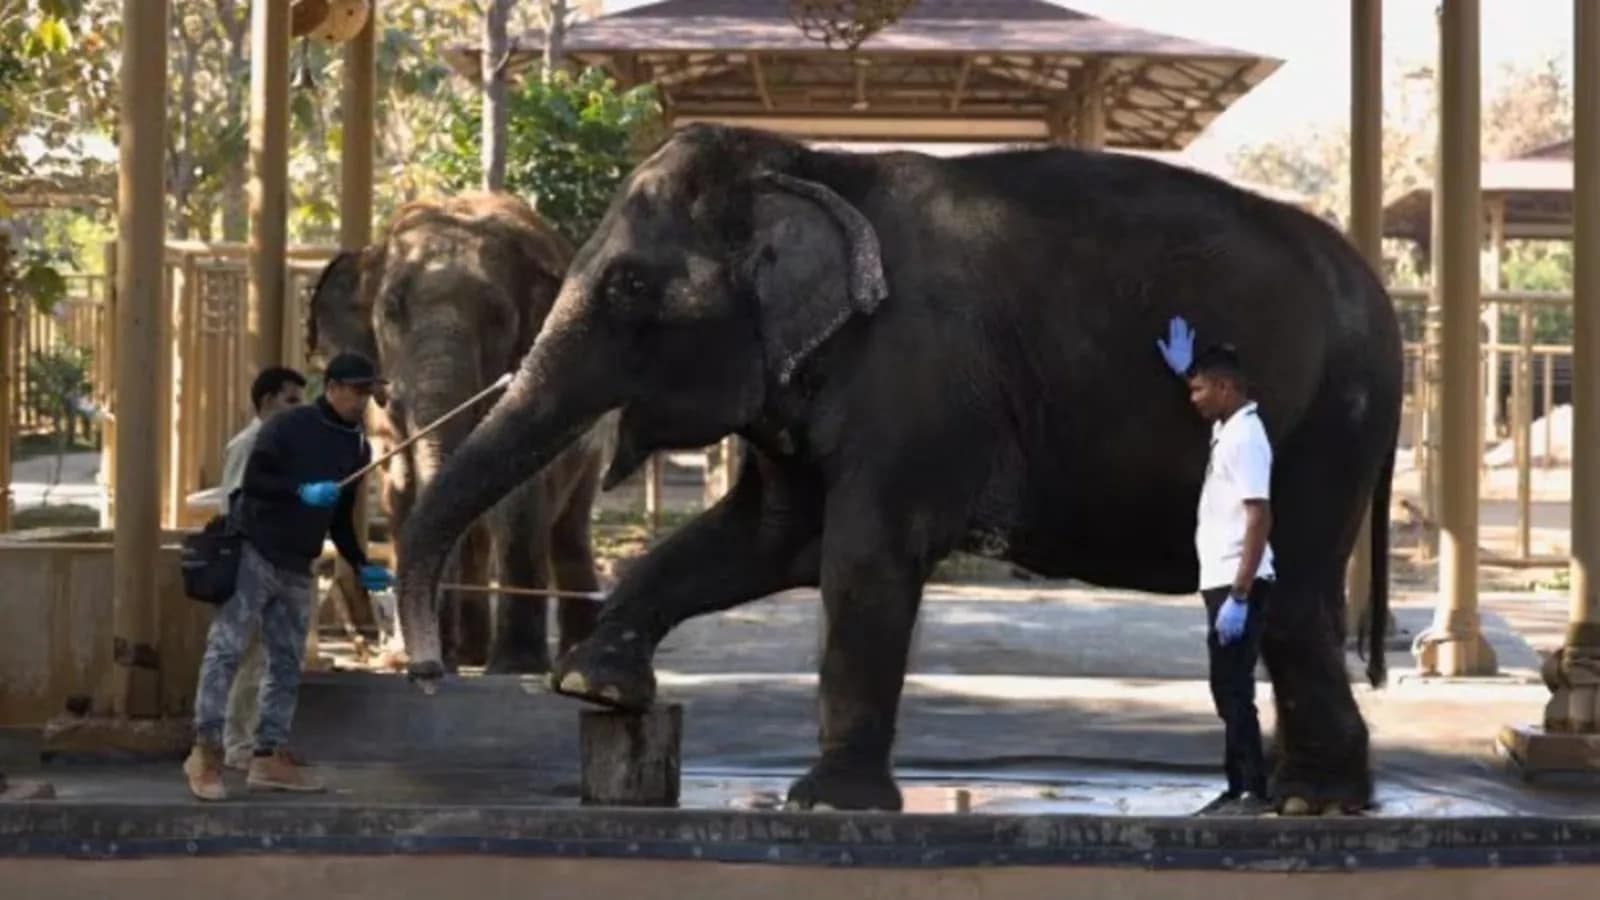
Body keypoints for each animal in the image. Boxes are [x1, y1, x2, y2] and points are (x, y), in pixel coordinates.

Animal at [309, 192, 607, 673]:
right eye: (391, 312)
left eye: (499, 318)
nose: (432, 663)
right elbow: (402, 489)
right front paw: (404, 657)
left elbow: (519, 501)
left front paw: (516, 667)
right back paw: (472, 653)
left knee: (567, 531)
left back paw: (565, 657)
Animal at [393, 125, 1401, 814]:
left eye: (631, 287)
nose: (431, 672)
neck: (815, 165)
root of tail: (1380, 295)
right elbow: (758, 540)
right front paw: (596, 686)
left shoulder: (918, 374)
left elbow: (861, 558)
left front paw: (825, 802)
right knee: (1293, 606)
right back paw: (1311, 799)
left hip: (1325, 423)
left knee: (1293, 598)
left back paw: (1308, 804)